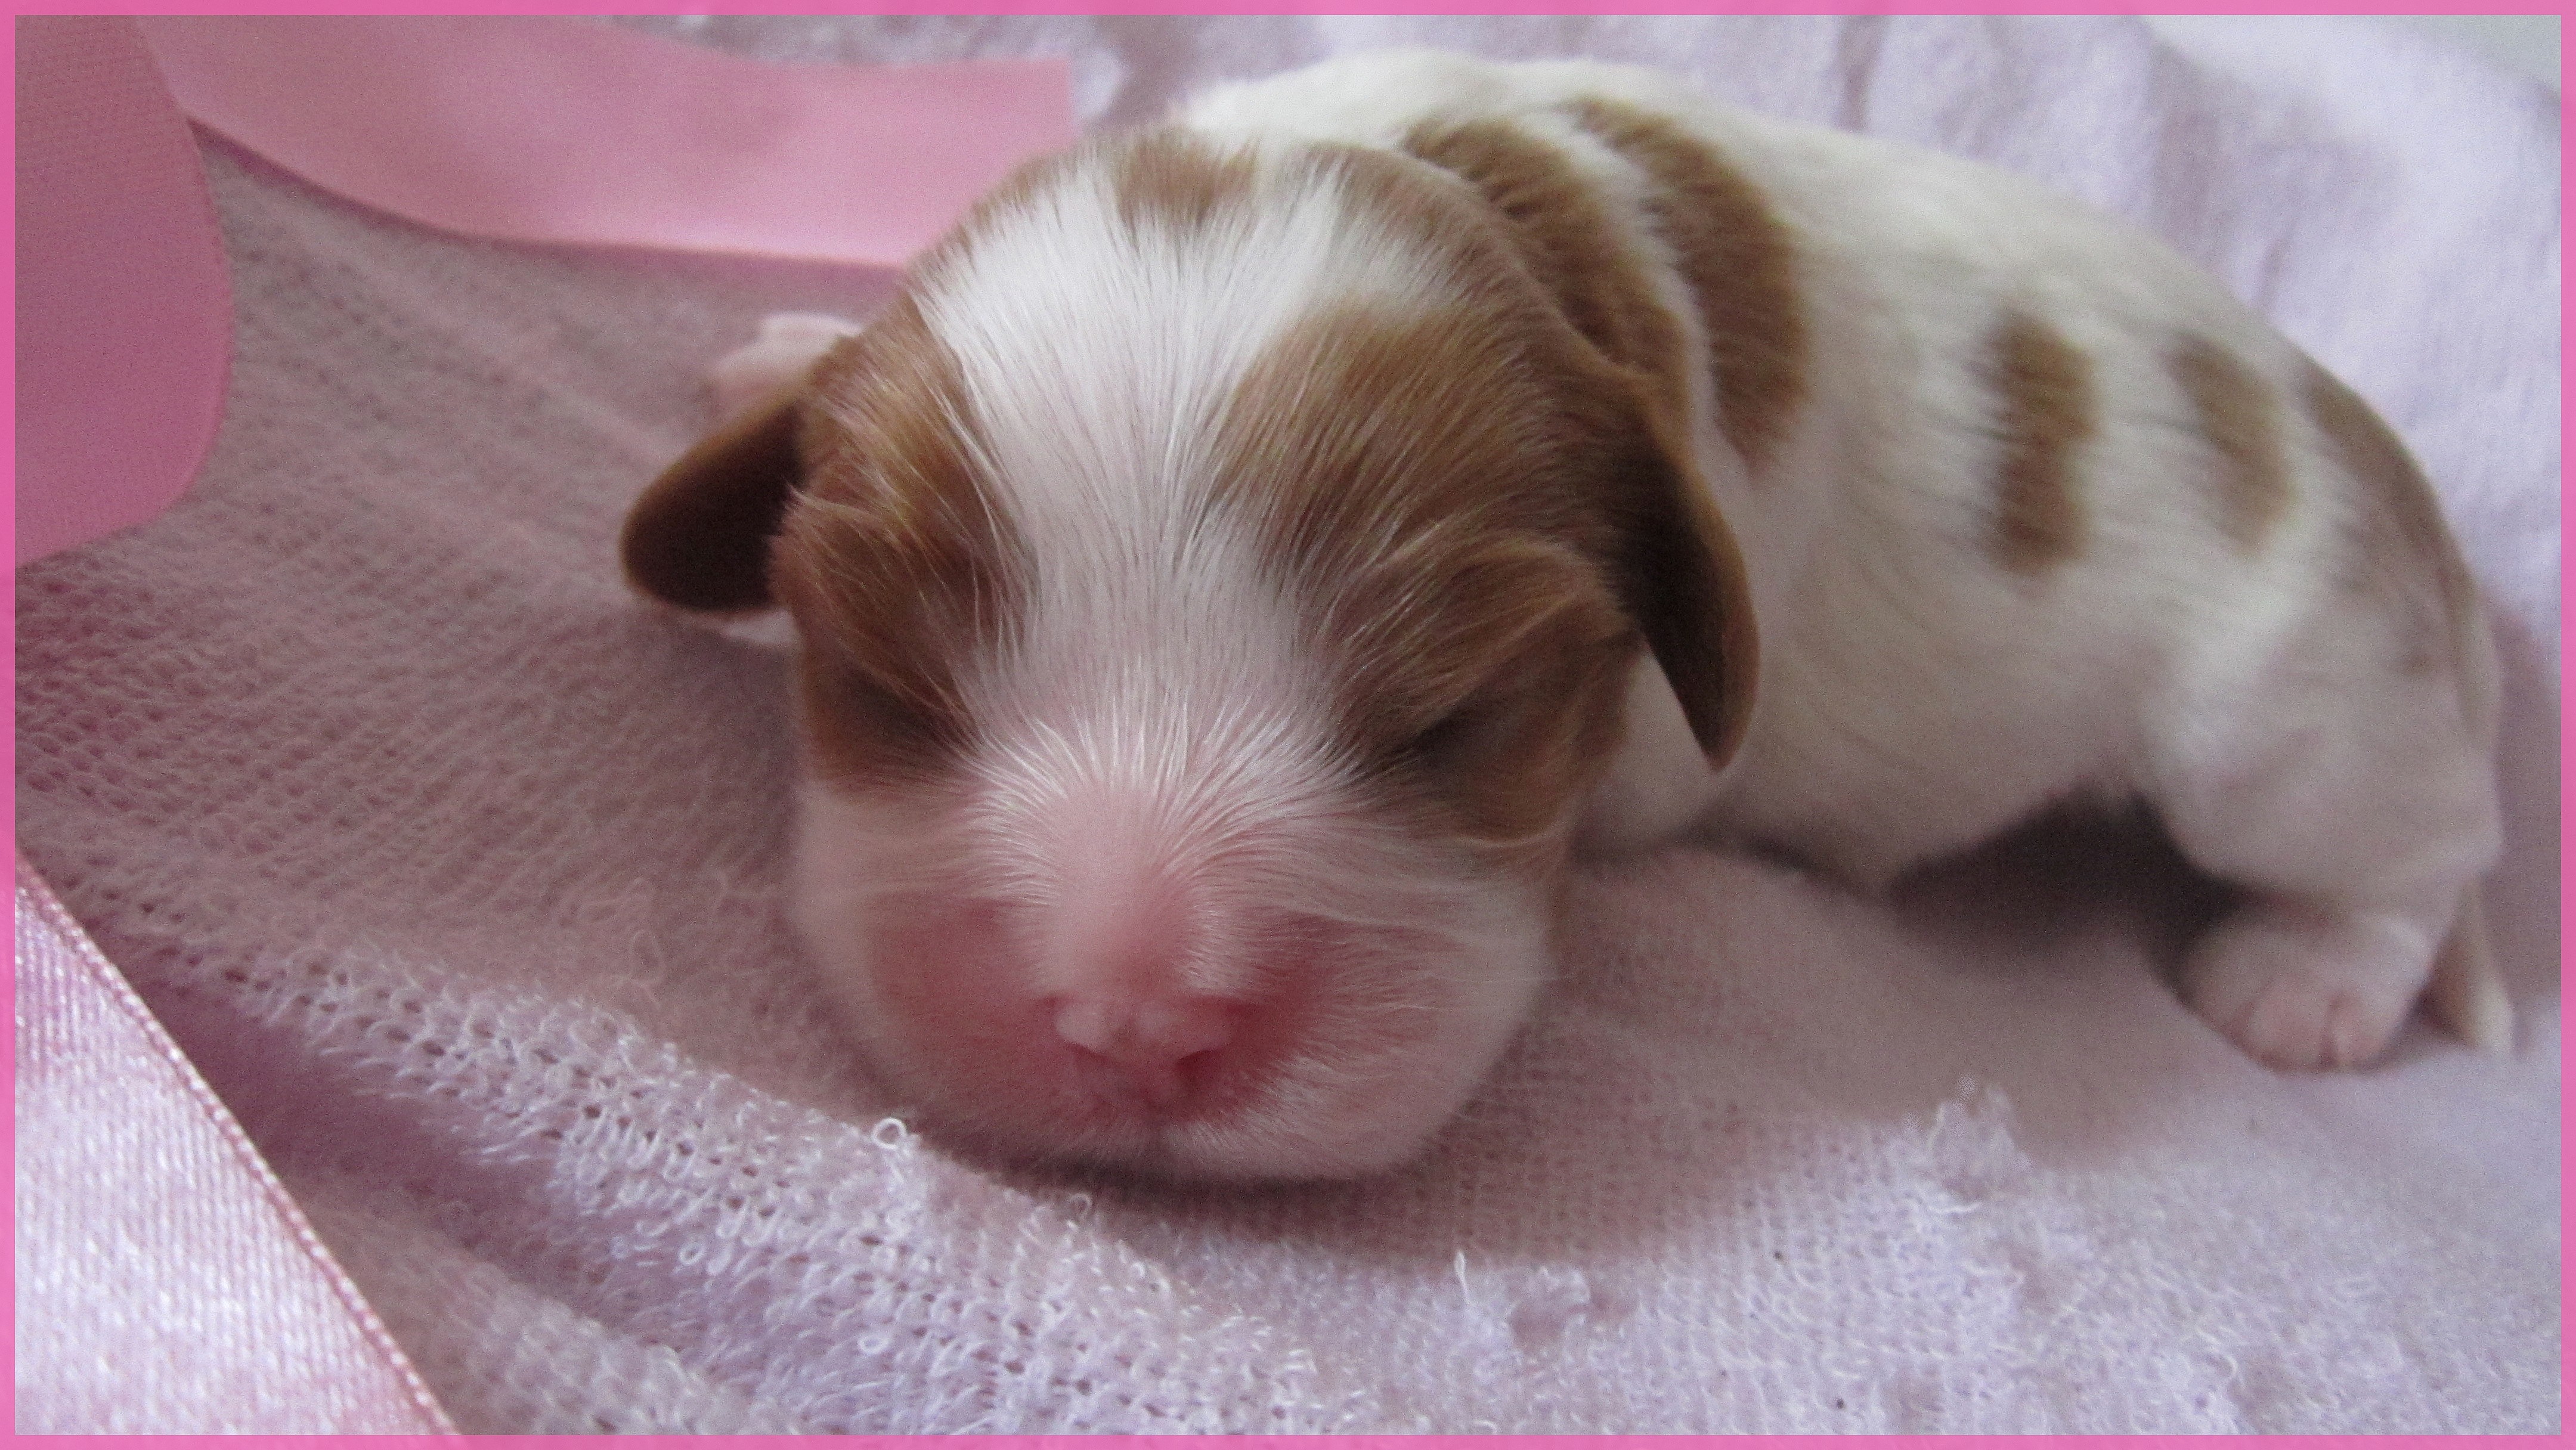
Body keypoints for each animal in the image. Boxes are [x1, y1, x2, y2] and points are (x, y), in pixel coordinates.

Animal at [619, 50, 2509, 1181]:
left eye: (1452, 719)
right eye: (889, 680)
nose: (1143, 1026)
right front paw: (788, 352)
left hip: (2285, 716)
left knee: (2419, 844)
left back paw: (2307, 980)